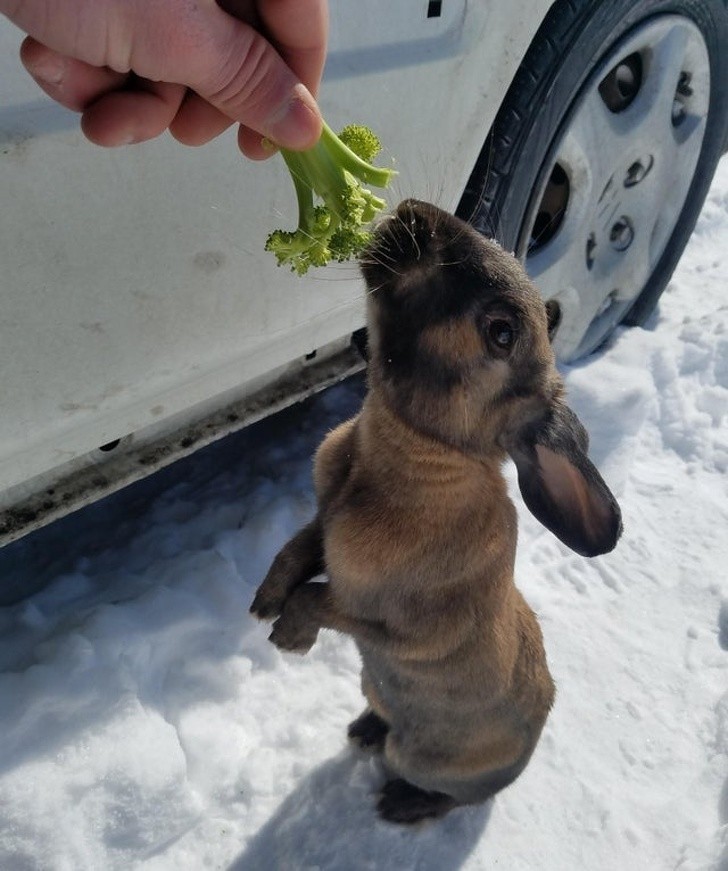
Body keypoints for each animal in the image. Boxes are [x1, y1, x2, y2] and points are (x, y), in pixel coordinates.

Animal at [249, 201, 620, 828]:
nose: (413, 212)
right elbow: (296, 550)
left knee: (449, 798)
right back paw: (364, 730)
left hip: (425, 759)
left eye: (502, 332)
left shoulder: (397, 628)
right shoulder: (322, 523)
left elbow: (319, 599)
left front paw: (288, 639)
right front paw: (263, 604)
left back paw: (399, 802)